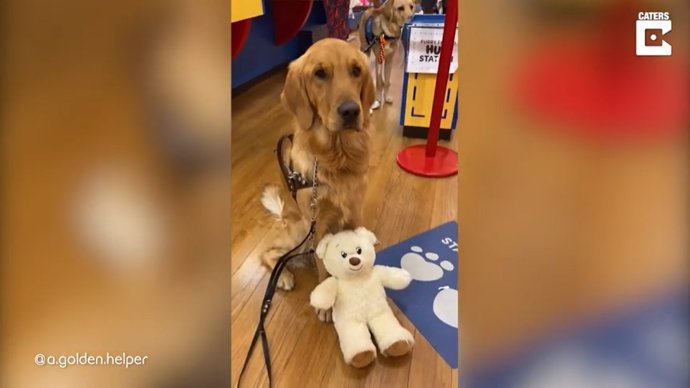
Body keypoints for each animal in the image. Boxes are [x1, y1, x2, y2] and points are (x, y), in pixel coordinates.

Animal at [260, 37, 376, 322]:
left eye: (356, 70)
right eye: (320, 74)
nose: (351, 111)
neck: (338, 155)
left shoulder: (355, 211)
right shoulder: (318, 224)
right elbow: (324, 265)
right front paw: (325, 303)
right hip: (300, 230)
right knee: (270, 253)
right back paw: (284, 277)